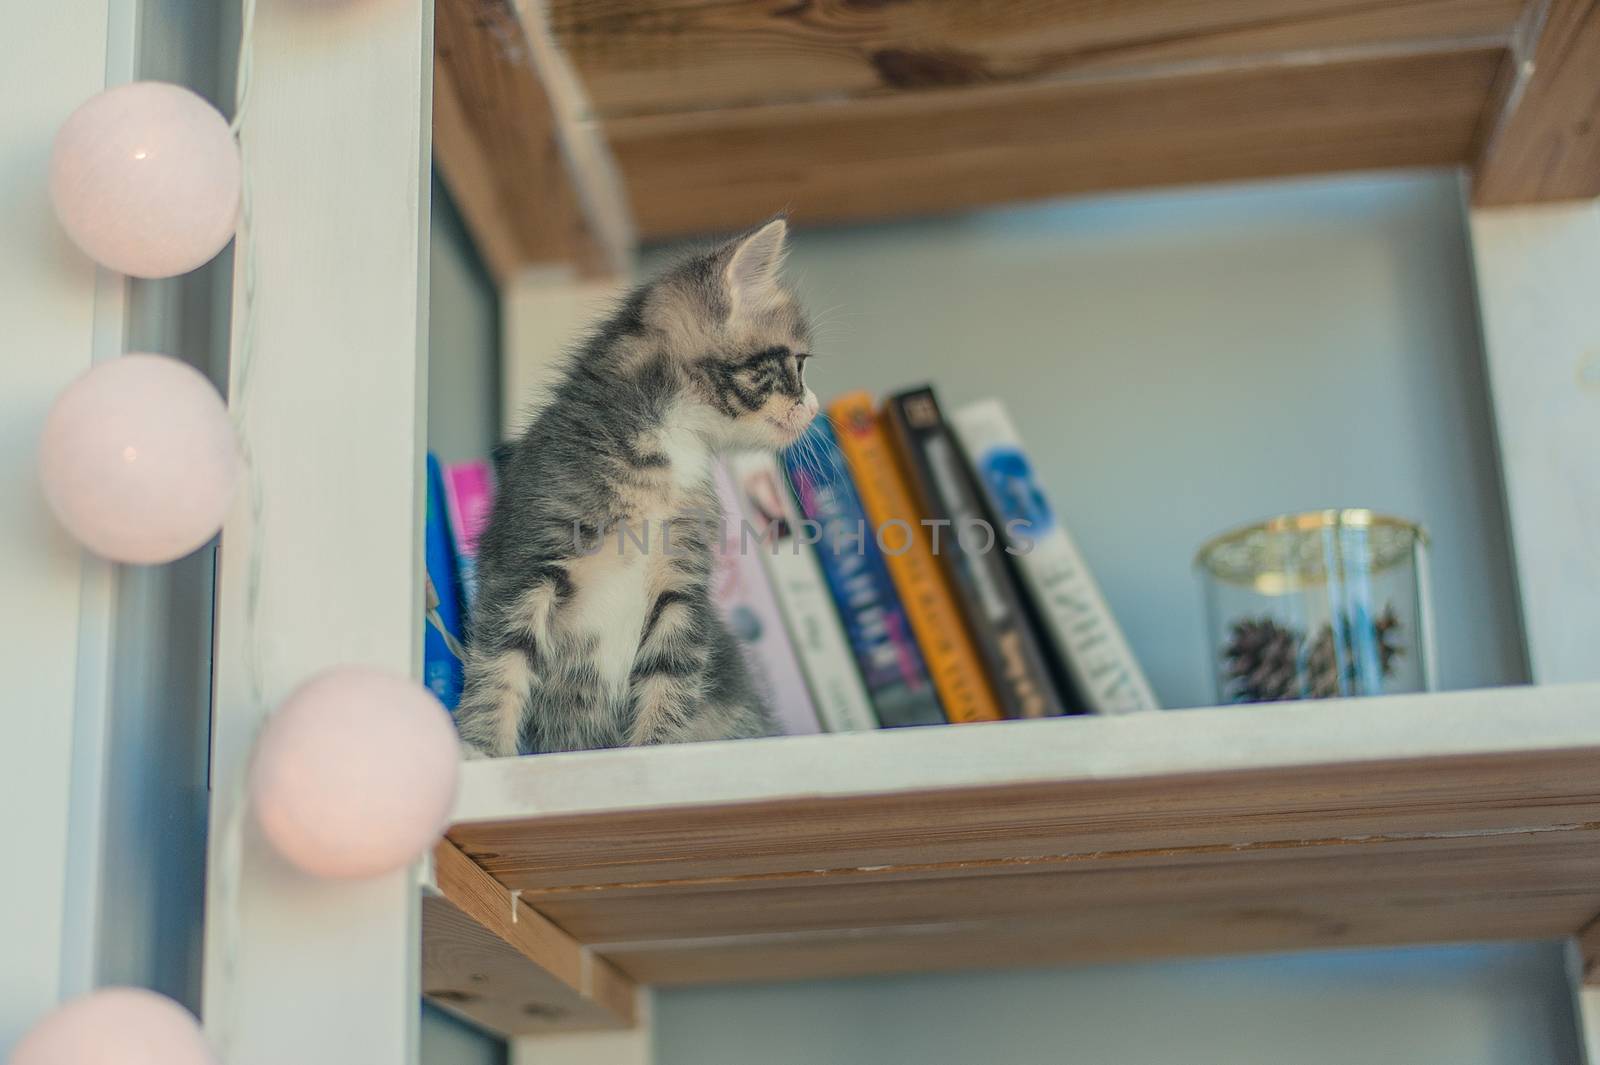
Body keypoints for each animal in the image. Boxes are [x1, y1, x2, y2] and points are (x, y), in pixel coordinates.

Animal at [457, 219, 819, 754]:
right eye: (797, 363)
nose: (814, 407)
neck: (670, 445)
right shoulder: (525, 554)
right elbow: (500, 660)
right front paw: (483, 749)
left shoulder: (682, 584)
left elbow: (672, 675)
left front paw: (658, 748)